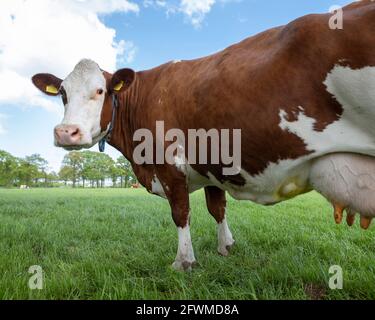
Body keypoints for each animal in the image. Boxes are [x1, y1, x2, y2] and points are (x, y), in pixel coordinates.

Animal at [31, 1, 375, 272]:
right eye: (62, 94)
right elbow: (217, 208)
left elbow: (181, 214)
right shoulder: (212, 165)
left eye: (100, 91)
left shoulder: (169, 165)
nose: (66, 132)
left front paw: (184, 261)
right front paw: (227, 247)